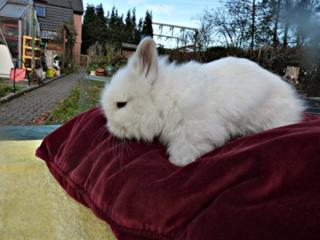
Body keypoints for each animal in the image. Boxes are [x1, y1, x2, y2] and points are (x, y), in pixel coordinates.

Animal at [100, 37, 304, 167]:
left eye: (121, 104)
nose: (110, 128)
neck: (165, 98)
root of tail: (293, 102)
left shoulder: (195, 128)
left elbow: (188, 145)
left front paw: (178, 161)